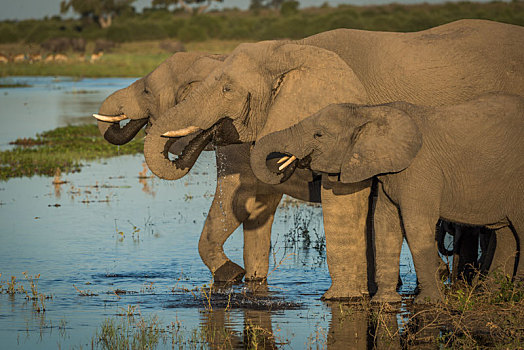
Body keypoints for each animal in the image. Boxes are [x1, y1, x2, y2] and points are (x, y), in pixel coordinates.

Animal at [250, 93, 524, 304]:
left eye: (319, 135)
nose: (285, 167)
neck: (371, 112)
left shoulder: (420, 169)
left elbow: (415, 226)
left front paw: (429, 303)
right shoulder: (390, 172)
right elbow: (385, 224)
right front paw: (385, 303)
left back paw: (513, 294)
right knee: (506, 235)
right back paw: (491, 294)